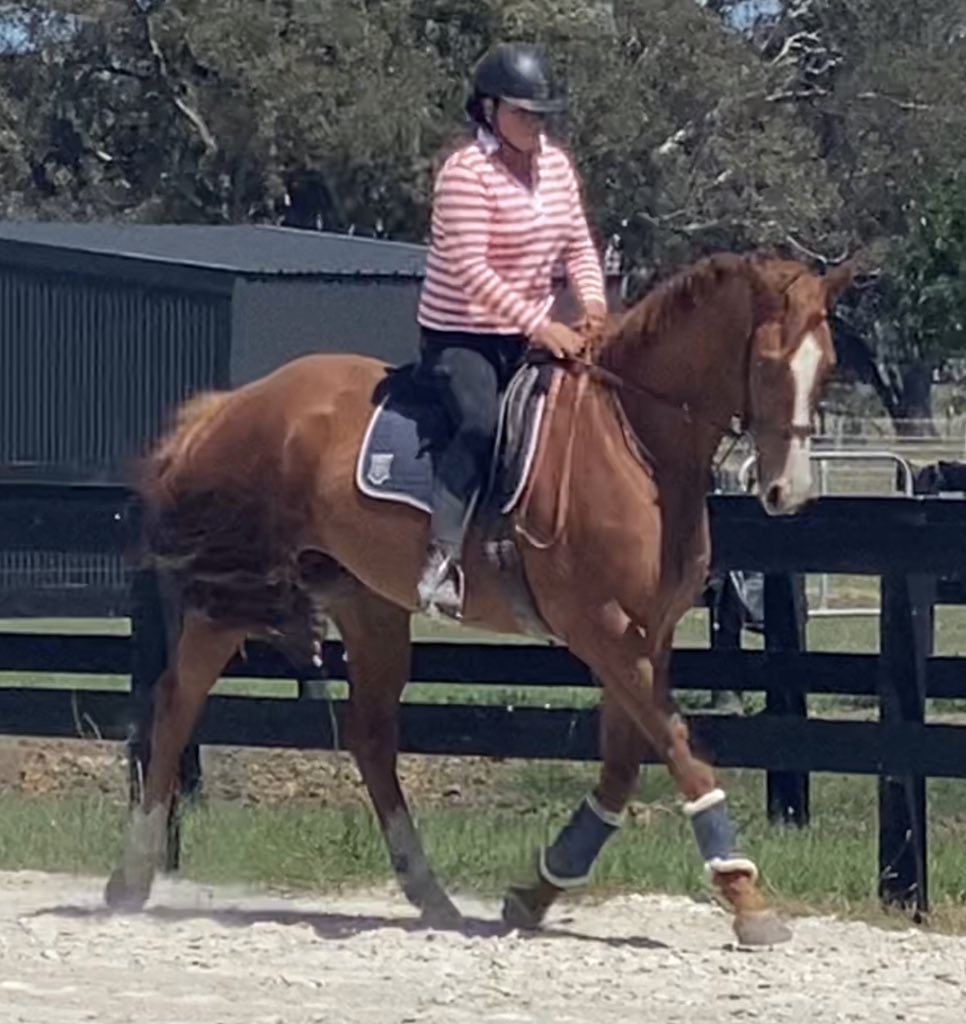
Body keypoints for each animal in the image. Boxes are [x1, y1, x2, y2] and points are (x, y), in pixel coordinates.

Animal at [104, 250, 854, 946]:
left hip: (368, 605)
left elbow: (623, 768)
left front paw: (537, 891)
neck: (633, 439)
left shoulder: (645, 636)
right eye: (768, 364)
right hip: (231, 597)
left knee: (370, 738)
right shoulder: (604, 633)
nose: (789, 494)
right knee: (175, 706)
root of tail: (230, 404)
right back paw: (131, 879)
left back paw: (430, 895)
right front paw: (747, 900)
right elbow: (679, 751)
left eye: (828, 368)